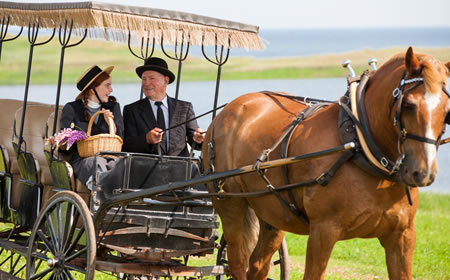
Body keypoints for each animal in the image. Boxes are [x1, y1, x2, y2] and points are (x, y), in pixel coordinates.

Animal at [204, 47, 450, 278]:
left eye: (447, 111)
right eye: (409, 105)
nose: (424, 172)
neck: (361, 145)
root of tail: (228, 110)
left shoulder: (403, 235)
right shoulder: (322, 232)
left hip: (270, 213)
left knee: (257, 266)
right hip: (230, 204)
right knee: (237, 263)